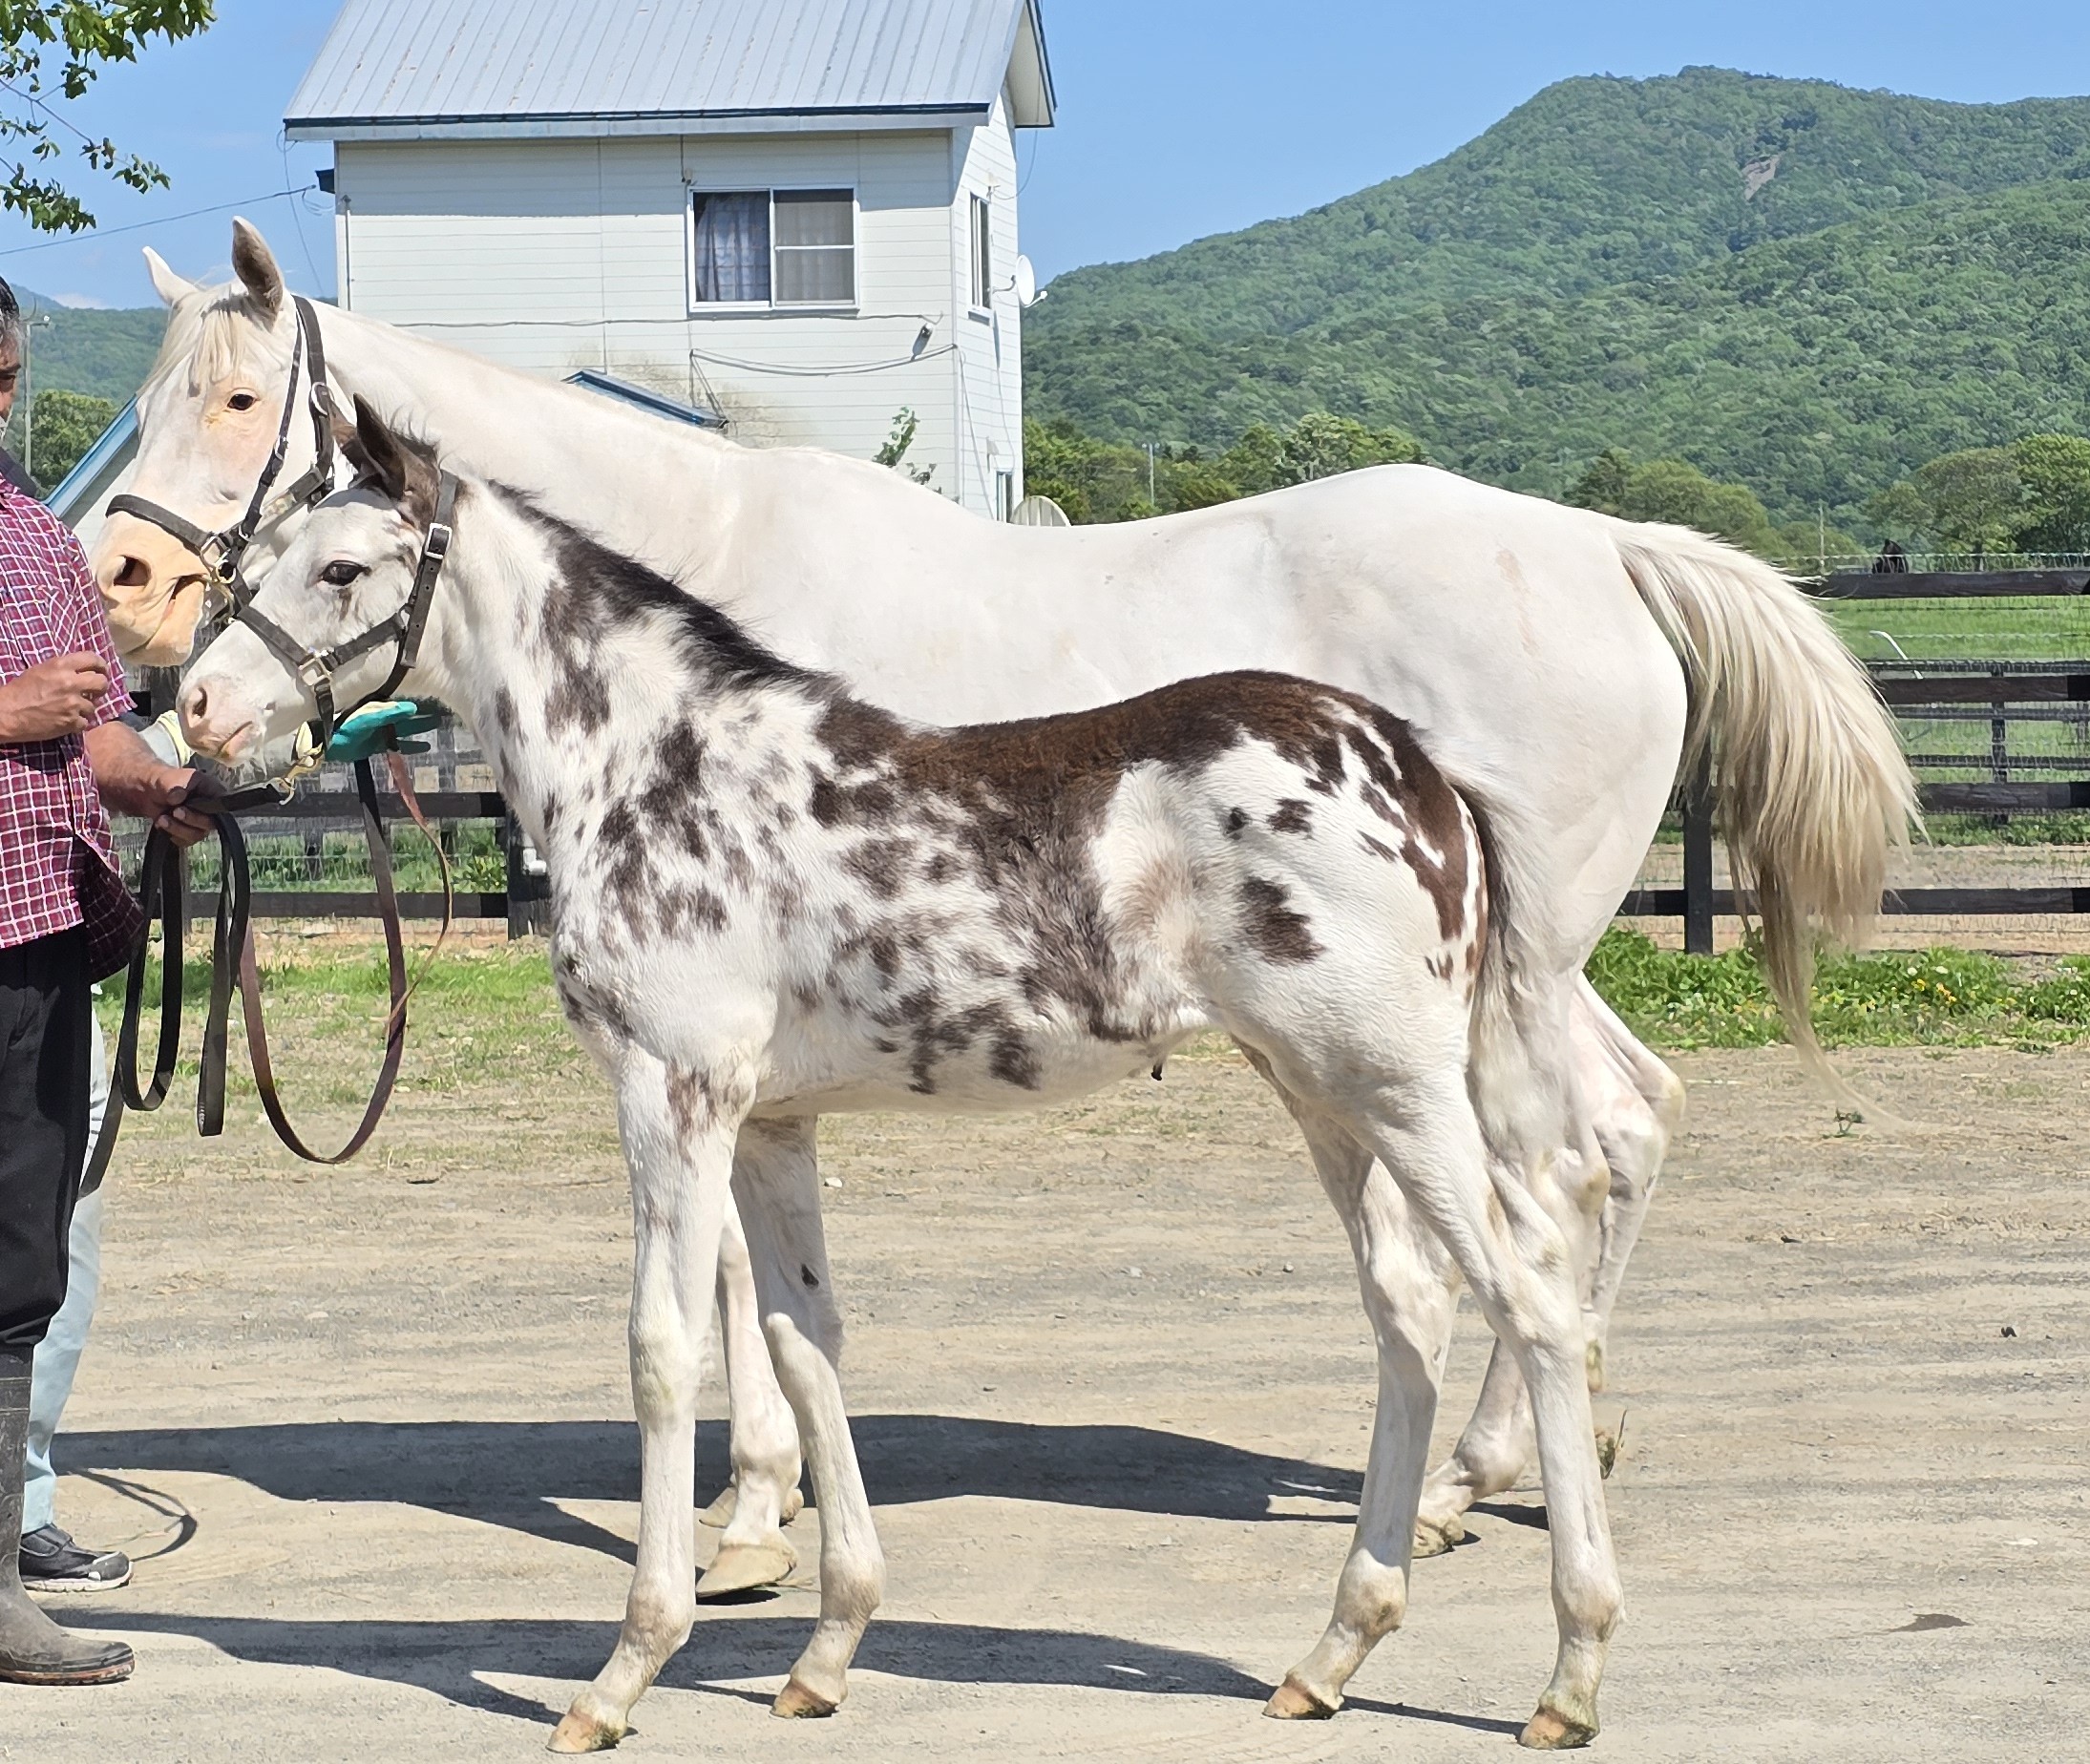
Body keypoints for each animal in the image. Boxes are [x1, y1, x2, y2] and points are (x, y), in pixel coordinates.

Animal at [92, 222, 1910, 1559]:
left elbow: (732, 1267)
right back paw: (1524, 1447)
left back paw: (1480, 1465)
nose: (126, 588)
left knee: (1557, 1162)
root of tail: (1606, 546)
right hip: (1515, 967)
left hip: (1489, 981)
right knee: (1625, 1123)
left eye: (243, 402)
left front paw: (747, 1512)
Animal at [179, 397, 1631, 1750]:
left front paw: (624, 1671)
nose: (197, 708)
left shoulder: (672, 1097)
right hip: (1321, 1094)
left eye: (344, 569)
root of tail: (1419, 767)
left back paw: (1569, 1672)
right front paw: (825, 1654)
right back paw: (1330, 1654)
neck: (651, 767)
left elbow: (663, 1349)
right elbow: (801, 1343)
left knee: (1532, 1301)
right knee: (1410, 1313)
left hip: (1400, 1093)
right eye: (259, 555)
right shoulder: (770, 1126)